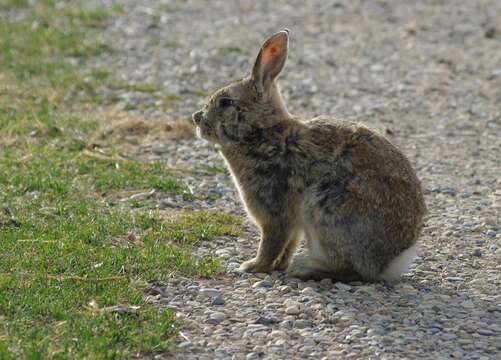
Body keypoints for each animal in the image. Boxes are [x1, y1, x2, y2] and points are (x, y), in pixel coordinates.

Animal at [191, 29, 426, 282]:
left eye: (226, 102)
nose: (196, 117)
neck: (260, 133)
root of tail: (391, 262)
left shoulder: (274, 212)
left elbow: (271, 243)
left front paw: (253, 266)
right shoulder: (292, 224)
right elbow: (288, 245)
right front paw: (278, 266)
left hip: (327, 208)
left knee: (350, 269)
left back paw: (306, 269)